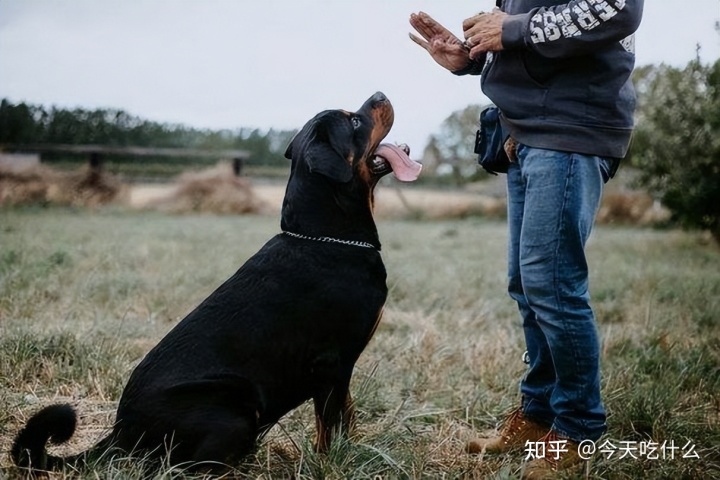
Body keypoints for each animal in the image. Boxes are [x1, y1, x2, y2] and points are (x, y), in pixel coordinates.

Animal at [12, 93, 422, 472]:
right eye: (354, 121)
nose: (380, 94)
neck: (325, 236)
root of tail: (120, 433)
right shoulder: (333, 364)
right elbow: (332, 426)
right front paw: (337, 463)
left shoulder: (340, 371)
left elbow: (346, 418)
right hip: (234, 406)